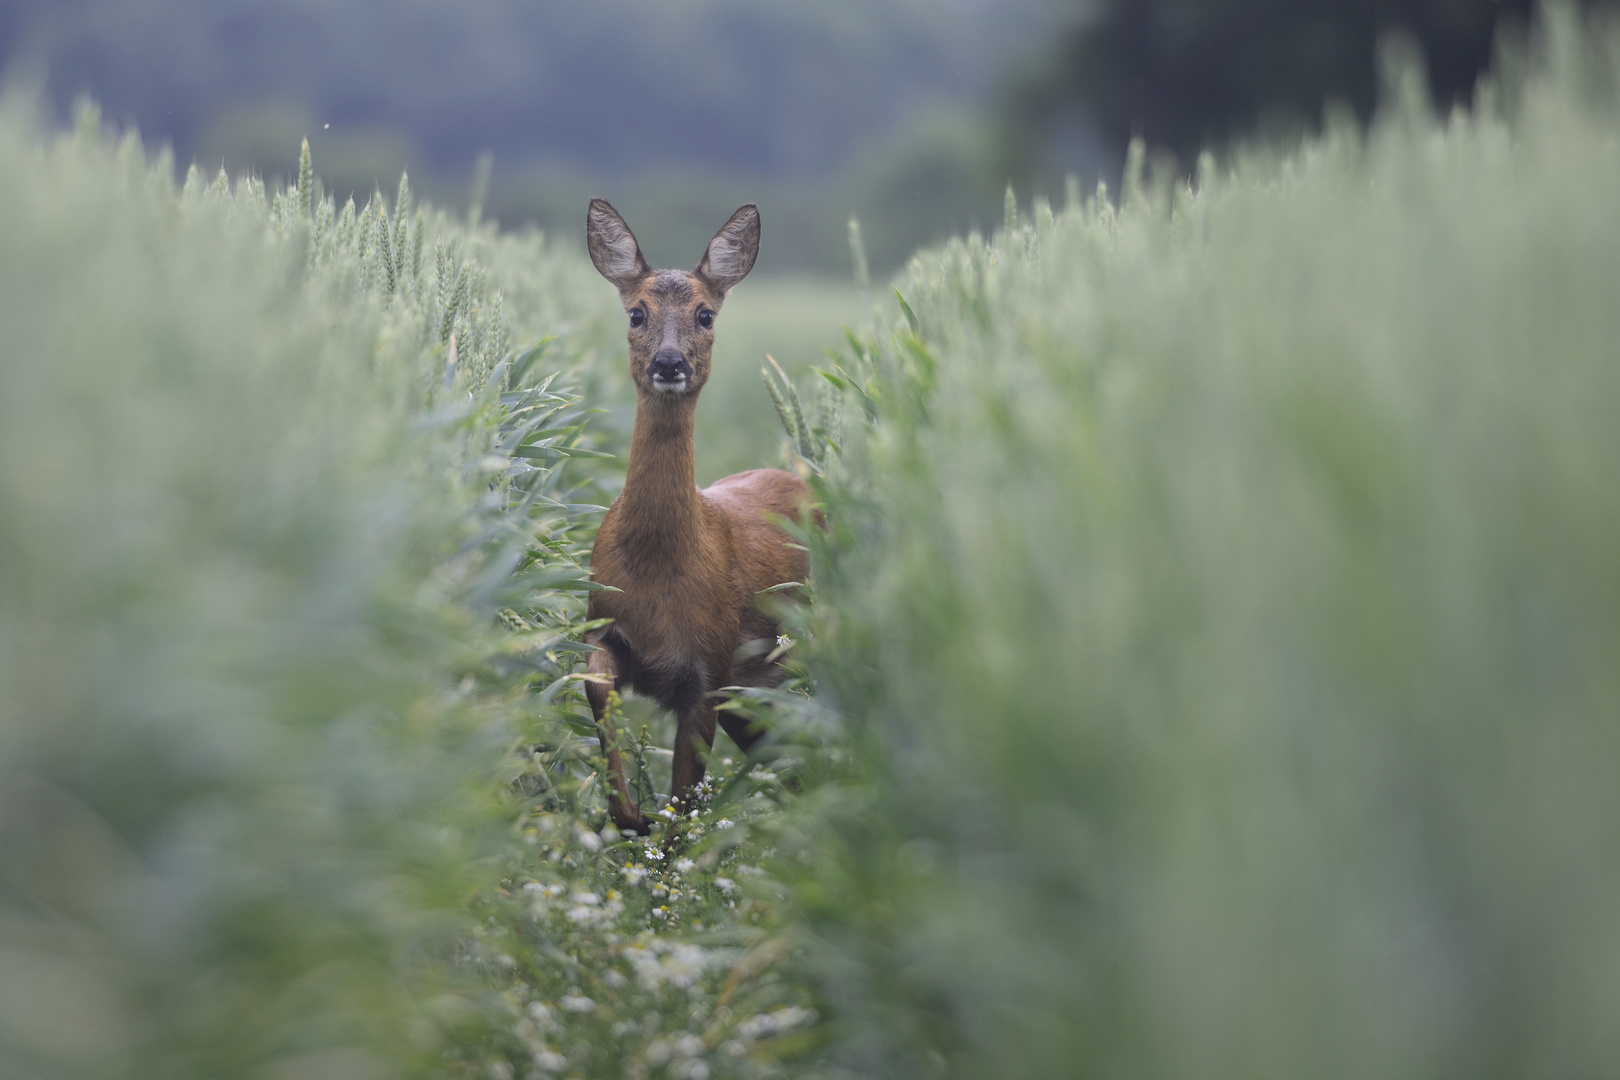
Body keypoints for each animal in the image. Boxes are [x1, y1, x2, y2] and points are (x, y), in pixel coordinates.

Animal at [583, 198, 810, 835]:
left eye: (705, 315)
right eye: (636, 312)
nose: (669, 361)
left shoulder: (707, 671)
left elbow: (684, 807)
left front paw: (652, 835)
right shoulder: (603, 622)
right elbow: (594, 685)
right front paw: (628, 813)